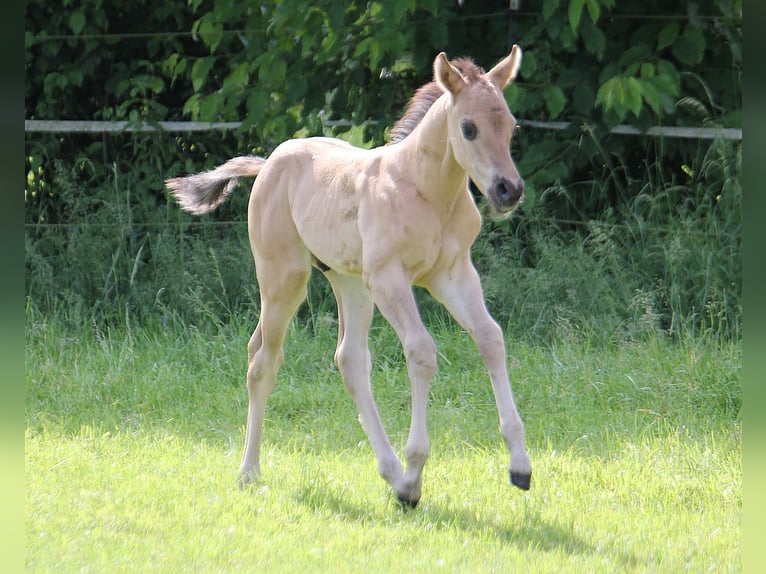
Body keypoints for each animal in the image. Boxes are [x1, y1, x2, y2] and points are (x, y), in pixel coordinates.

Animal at [165, 46, 532, 508]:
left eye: (511, 126)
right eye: (468, 128)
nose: (508, 190)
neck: (426, 192)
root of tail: (267, 164)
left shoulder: (453, 274)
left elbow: (490, 338)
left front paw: (520, 466)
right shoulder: (389, 278)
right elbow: (421, 351)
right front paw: (415, 476)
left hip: (349, 281)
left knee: (349, 359)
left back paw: (390, 472)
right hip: (284, 279)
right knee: (263, 361)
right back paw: (251, 473)